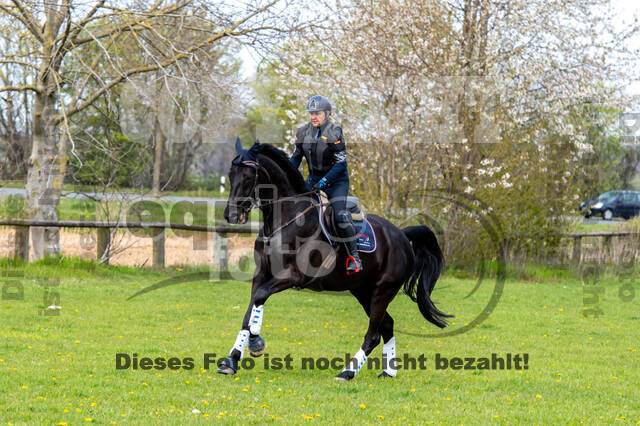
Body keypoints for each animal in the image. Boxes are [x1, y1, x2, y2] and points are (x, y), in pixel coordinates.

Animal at [220, 141, 450, 382]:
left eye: (248, 177)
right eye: (230, 175)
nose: (231, 215)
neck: (286, 218)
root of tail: (402, 235)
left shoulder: (293, 275)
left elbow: (260, 297)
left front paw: (256, 342)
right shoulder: (262, 274)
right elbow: (251, 309)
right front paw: (232, 360)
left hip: (383, 290)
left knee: (374, 334)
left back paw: (347, 372)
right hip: (363, 291)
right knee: (387, 326)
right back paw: (388, 372)